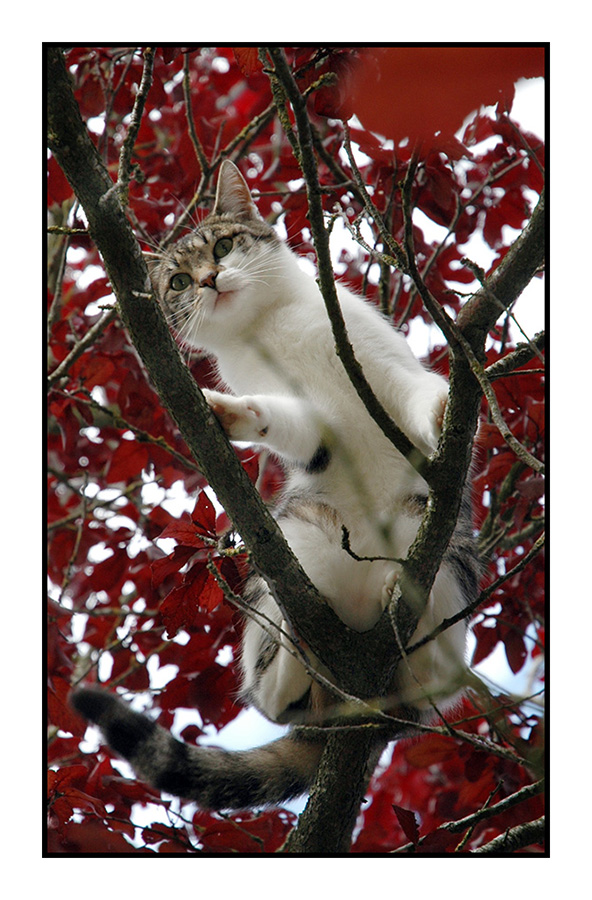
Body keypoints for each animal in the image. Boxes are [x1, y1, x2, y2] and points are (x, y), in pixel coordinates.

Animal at [73, 160, 480, 808]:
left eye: (222, 245)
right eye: (178, 281)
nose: (210, 280)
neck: (274, 327)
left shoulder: (385, 368)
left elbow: (419, 393)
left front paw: (443, 412)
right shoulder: (310, 429)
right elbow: (288, 423)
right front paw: (233, 415)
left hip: (447, 553)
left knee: (433, 687)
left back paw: (406, 610)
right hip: (295, 543)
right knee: (276, 697)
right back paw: (290, 659)